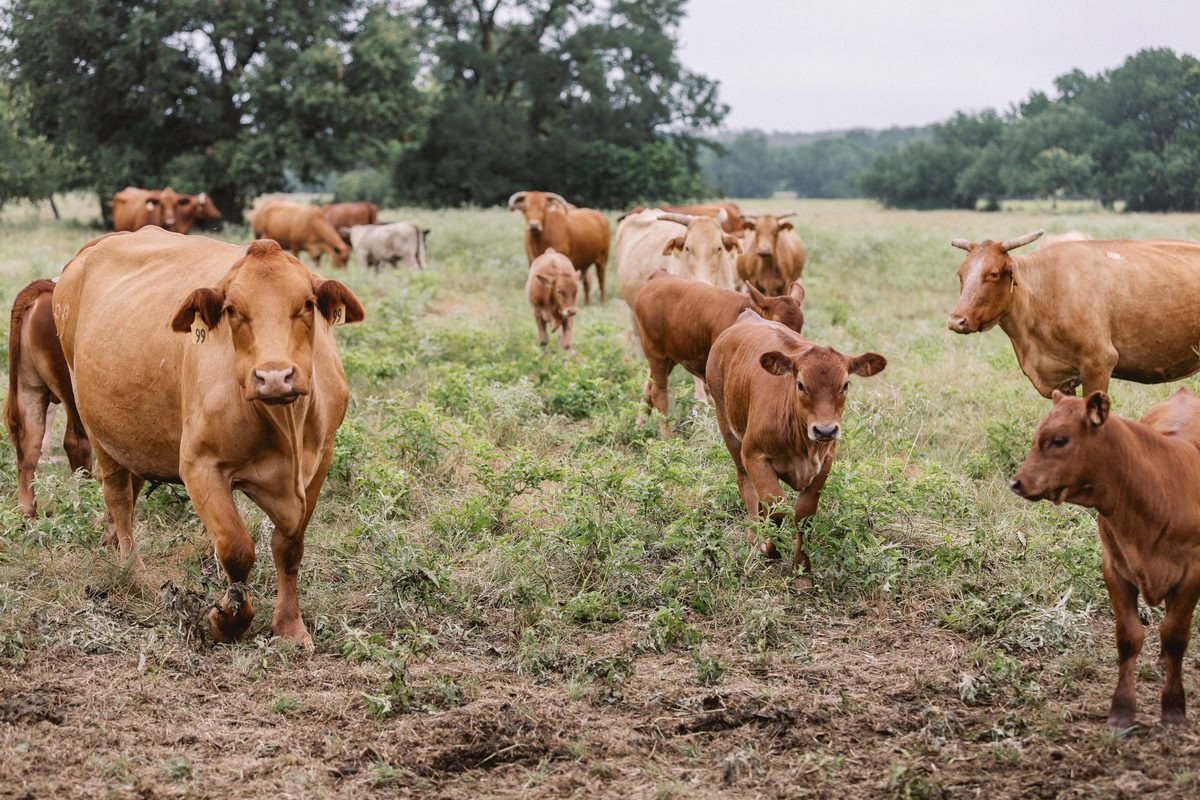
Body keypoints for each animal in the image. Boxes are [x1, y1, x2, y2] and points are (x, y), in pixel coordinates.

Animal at [4, 279, 92, 518]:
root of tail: (42, 289)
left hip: (29, 387)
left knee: (29, 445)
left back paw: (29, 515)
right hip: (72, 390)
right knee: (77, 441)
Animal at [53, 228, 364, 646]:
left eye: (308, 304)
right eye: (232, 310)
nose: (274, 376)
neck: (283, 426)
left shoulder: (319, 463)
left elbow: (289, 547)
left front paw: (289, 626)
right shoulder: (200, 466)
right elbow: (236, 548)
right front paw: (228, 620)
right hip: (97, 430)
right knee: (118, 496)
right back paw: (133, 569)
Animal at [634, 271, 805, 436]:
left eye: (800, 324)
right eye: (777, 320)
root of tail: (659, 276)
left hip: (670, 357)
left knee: (647, 390)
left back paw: (639, 428)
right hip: (656, 354)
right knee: (658, 392)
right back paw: (667, 437)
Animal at [706, 313, 886, 588]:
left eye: (845, 385)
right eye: (801, 385)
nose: (825, 430)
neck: (802, 444)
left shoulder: (824, 464)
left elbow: (804, 515)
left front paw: (802, 572)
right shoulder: (754, 455)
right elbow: (777, 507)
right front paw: (771, 549)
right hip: (727, 425)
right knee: (745, 483)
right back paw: (754, 537)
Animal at [1010, 387, 1200, 729]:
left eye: (1059, 440)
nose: (1016, 482)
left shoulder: (1192, 574)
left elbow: (1176, 636)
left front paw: (1174, 709)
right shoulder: (1115, 569)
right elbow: (1129, 638)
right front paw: (1121, 711)